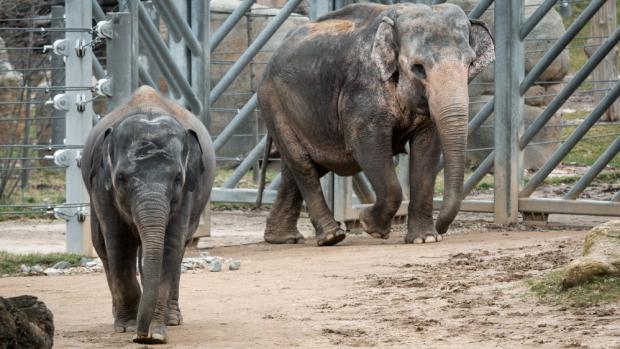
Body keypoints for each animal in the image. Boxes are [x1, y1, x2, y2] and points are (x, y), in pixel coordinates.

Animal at [80, 85, 216, 342]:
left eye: (178, 178)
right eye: (121, 178)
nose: (141, 336)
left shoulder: (186, 193)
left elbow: (170, 246)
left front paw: (155, 334)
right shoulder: (102, 186)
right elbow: (119, 244)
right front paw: (128, 327)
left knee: (179, 249)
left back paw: (172, 319)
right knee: (102, 247)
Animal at [256, 4, 494, 246]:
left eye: (470, 64)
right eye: (418, 68)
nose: (442, 228)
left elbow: (427, 149)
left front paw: (424, 239)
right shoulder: (362, 91)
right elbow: (367, 146)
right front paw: (370, 226)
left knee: (299, 167)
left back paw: (283, 238)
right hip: (273, 103)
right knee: (302, 163)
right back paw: (331, 236)